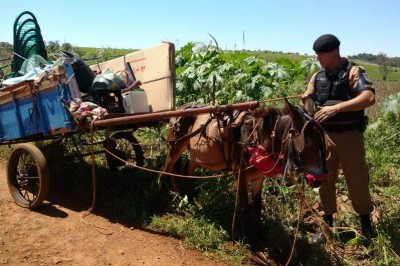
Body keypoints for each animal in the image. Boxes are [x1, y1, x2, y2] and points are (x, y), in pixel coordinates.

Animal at [159, 97, 328, 249]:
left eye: (320, 138)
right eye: (306, 141)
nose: (320, 179)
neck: (258, 139)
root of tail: (181, 107)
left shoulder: (258, 178)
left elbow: (257, 206)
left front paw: (260, 234)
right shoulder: (240, 176)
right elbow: (245, 206)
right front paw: (248, 238)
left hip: (196, 156)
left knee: (185, 172)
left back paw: (190, 202)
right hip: (175, 147)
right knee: (165, 171)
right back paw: (165, 198)